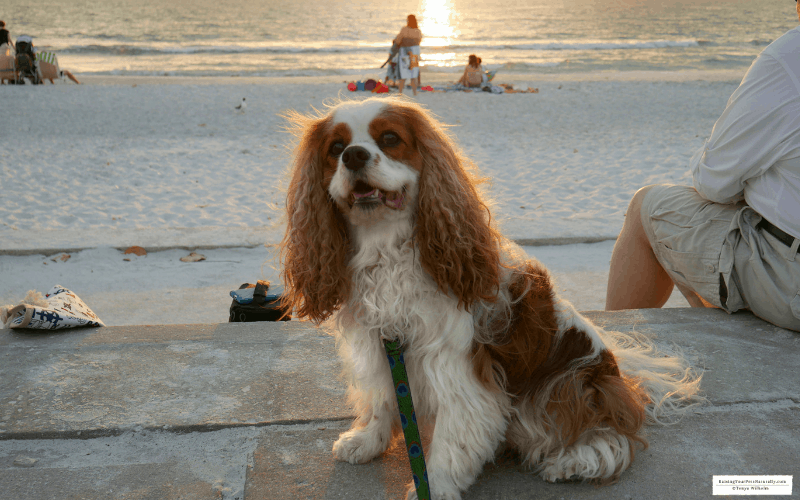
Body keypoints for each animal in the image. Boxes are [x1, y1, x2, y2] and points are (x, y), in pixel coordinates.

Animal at [280, 95, 700, 498]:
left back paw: (572, 461)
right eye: (336, 148)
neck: (385, 251)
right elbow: (385, 398)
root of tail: (618, 376)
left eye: (389, 139)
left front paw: (433, 487)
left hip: (569, 385)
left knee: (614, 439)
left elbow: (450, 443)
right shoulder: (381, 344)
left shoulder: (456, 369)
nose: (354, 155)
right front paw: (368, 441)